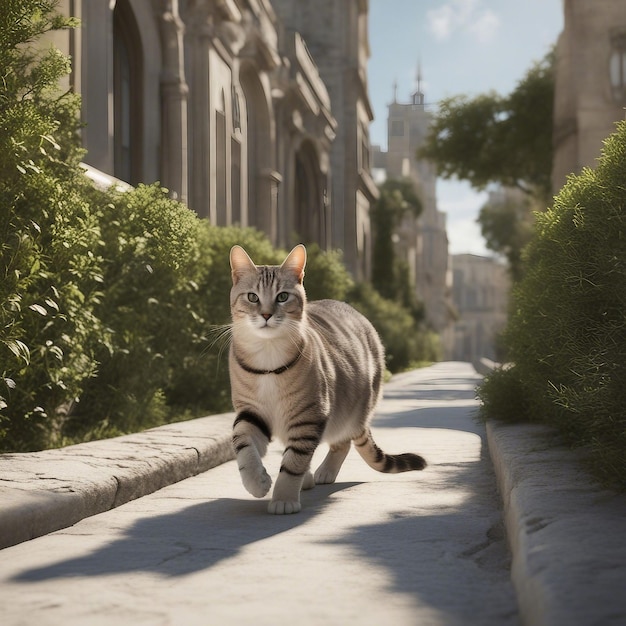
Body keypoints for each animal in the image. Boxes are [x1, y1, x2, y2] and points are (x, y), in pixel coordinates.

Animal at [227, 244, 426, 512]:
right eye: (252, 297)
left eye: (282, 297)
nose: (267, 314)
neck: (268, 356)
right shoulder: (251, 412)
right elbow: (244, 445)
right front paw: (257, 482)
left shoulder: (310, 415)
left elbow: (294, 463)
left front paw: (284, 498)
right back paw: (308, 478)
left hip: (347, 412)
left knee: (341, 442)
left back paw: (323, 472)